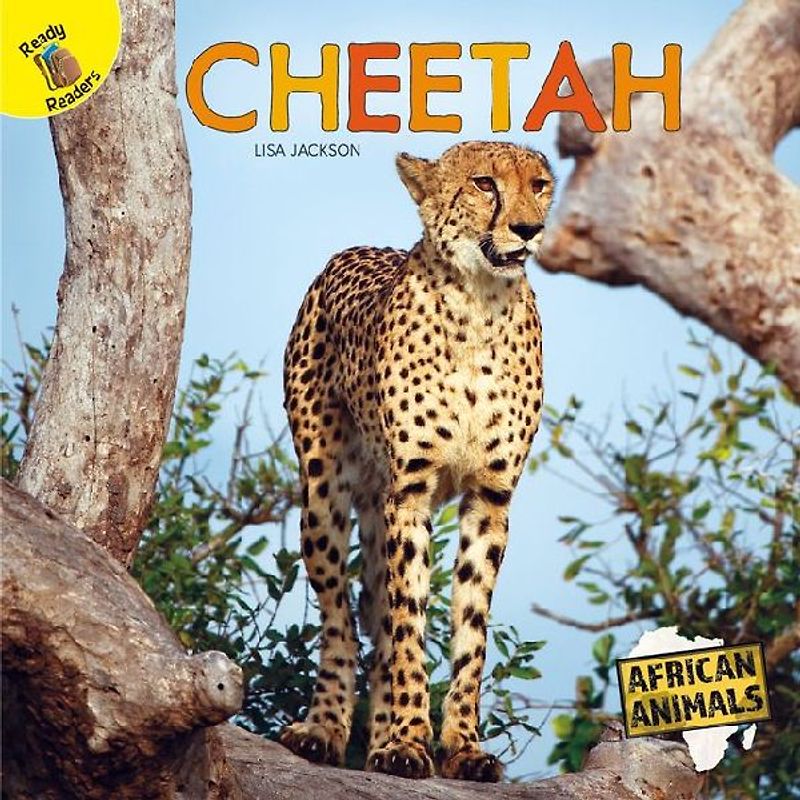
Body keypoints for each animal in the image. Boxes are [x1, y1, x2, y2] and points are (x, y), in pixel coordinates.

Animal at [280, 140, 554, 782]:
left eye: (540, 184)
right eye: (484, 184)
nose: (529, 228)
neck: (481, 304)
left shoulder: (489, 497)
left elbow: (469, 630)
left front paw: (462, 747)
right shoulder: (411, 491)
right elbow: (408, 621)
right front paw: (407, 742)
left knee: (377, 612)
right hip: (324, 495)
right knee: (342, 620)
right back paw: (325, 730)